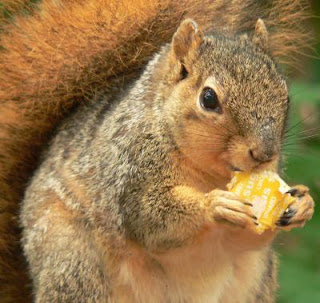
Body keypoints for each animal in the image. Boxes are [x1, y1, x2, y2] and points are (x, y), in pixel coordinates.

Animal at [0, 0, 316, 302]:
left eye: (285, 94)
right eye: (208, 98)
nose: (264, 154)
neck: (210, 173)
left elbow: (247, 240)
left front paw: (303, 204)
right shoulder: (129, 171)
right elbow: (150, 218)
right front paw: (213, 205)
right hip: (73, 261)